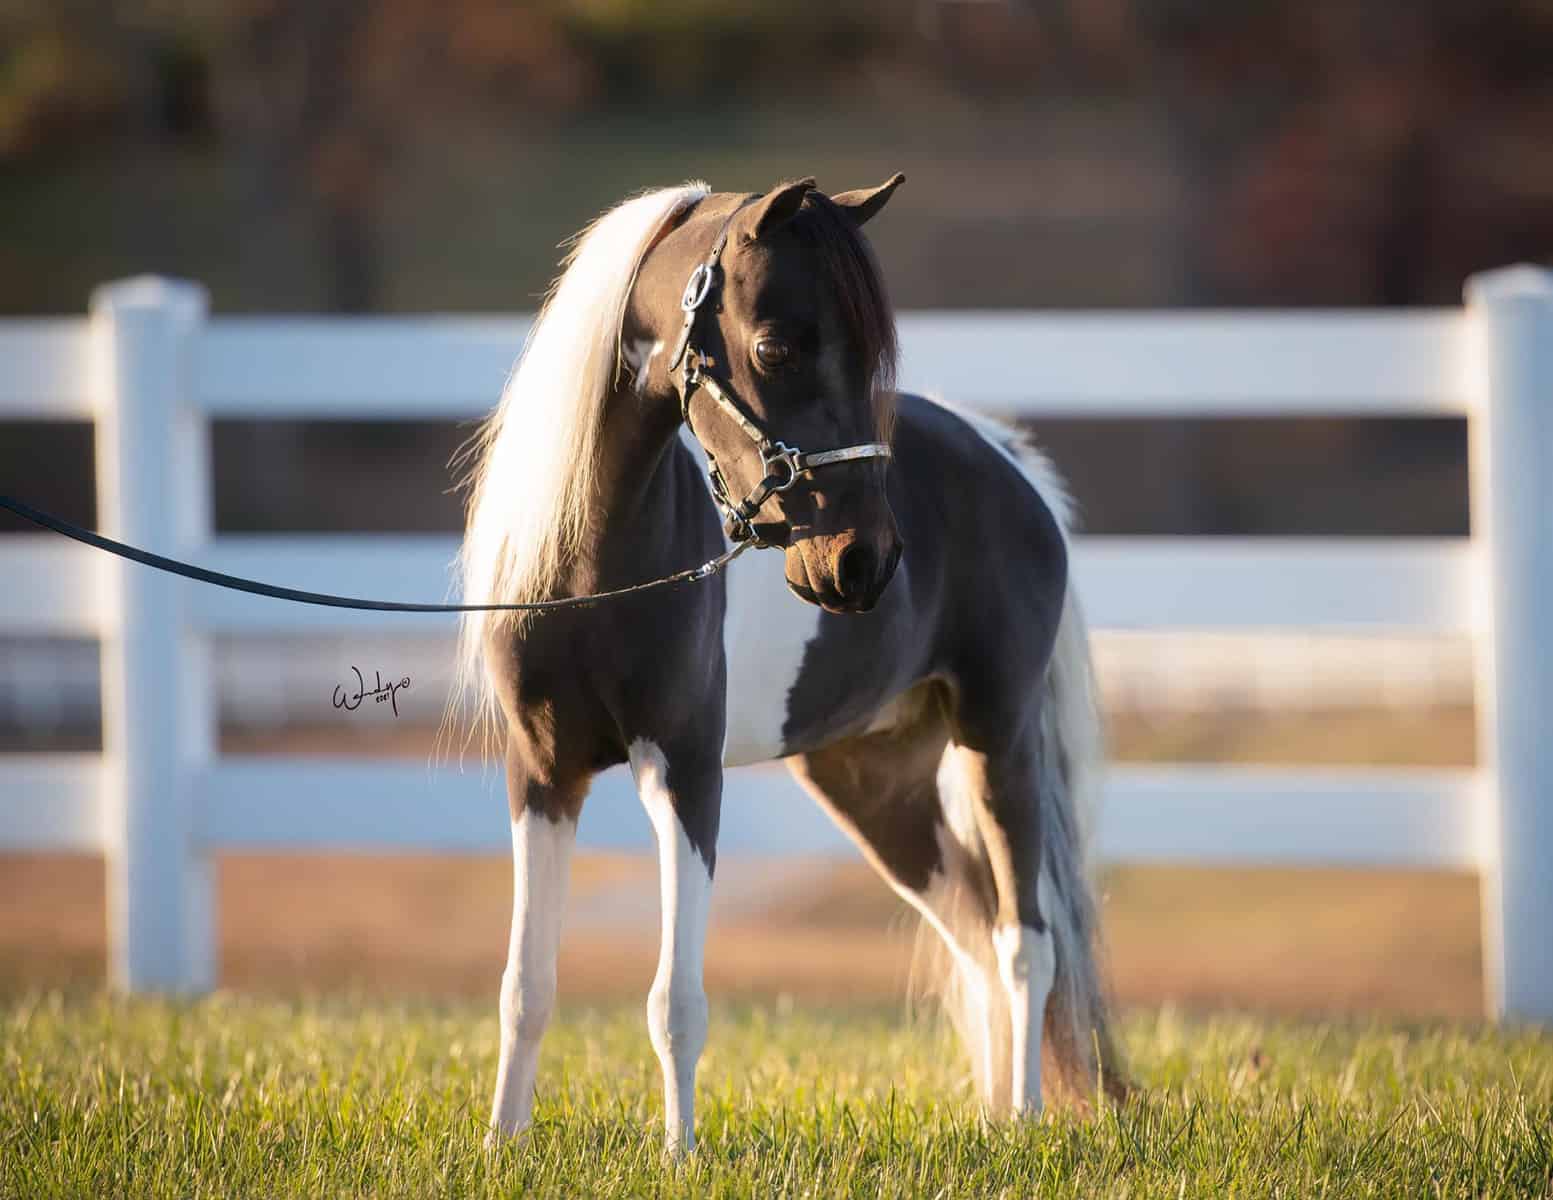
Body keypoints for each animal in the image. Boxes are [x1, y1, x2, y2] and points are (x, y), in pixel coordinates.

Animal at [453, 175, 1124, 1155]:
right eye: (775, 346)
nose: (863, 564)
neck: (593, 569)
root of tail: (1008, 461)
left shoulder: (683, 773)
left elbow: (674, 1002)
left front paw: (680, 1156)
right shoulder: (541, 774)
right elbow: (523, 987)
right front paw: (504, 1147)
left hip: (996, 742)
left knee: (1020, 942)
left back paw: (1026, 1121)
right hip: (874, 783)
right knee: (970, 939)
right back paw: (996, 1119)